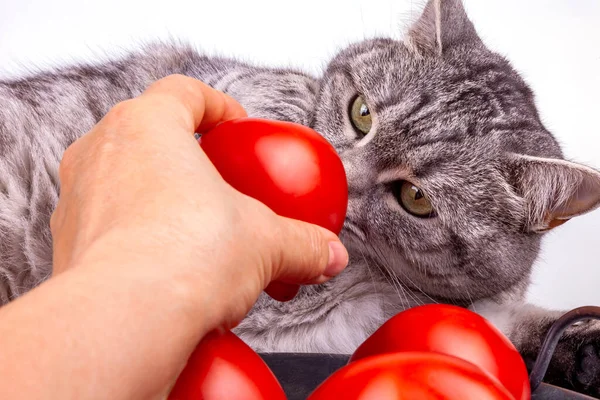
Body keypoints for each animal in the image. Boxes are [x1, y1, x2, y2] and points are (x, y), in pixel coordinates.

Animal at [1, 0, 600, 396]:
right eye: (361, 111)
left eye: (416, 198)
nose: (340, 176)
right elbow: (276, 87)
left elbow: (521, 325)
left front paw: (582, 350)